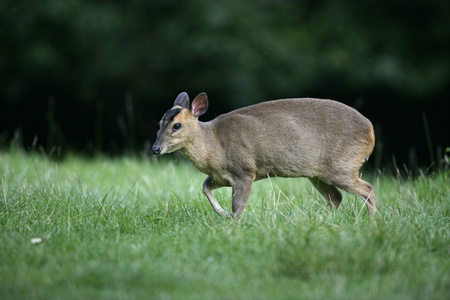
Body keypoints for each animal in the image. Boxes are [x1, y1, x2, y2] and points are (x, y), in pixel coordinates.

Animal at [152, 91, 376, 218]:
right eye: (160, 123)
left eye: (177, 126)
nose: (156, 148)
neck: (214, 145)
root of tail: (371, 130)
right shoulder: (221, 176)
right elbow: (205, 187)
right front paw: (222, 214)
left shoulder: (244, 170)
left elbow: (238, 207)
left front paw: (232, 222)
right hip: (317, 173)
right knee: (336, 197)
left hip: (342, 165)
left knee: (368, 189)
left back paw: (372, 223)